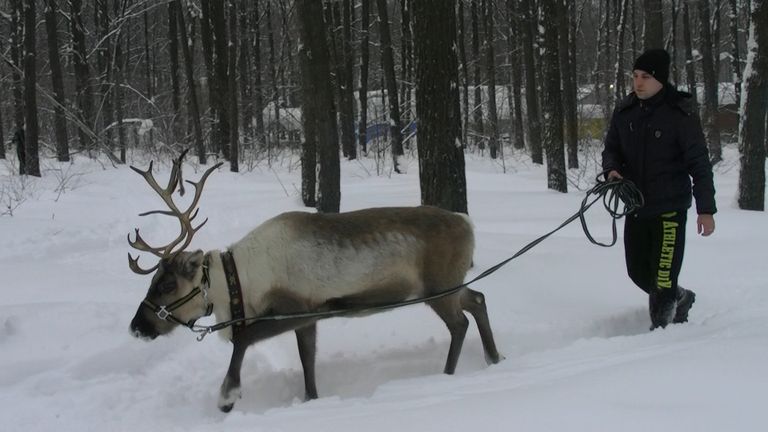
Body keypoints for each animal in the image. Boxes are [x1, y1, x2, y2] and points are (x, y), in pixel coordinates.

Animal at [128, 151, 502, 412]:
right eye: (154, 280)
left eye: (166, 285)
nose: (136, 327)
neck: (240, 283)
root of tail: (466, 222)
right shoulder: (308, 318)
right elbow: (307, 358)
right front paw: (311, 397)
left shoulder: (296, 308)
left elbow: (243, 338)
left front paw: (227, 397)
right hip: (449, 285)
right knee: (479, 299)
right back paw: (494, 359)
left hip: (438, 288)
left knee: (459, 323)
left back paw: (448, 375)